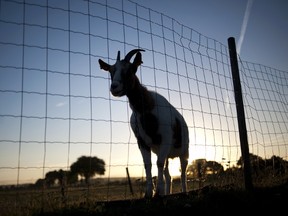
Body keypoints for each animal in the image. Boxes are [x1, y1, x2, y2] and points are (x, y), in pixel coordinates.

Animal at [99, 49, 189, 197]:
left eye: (130, 70)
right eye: (111, 71)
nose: (114, 87)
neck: (147, 109)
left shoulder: (165, 138)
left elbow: (158, 163)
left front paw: (158, 193)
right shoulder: (141, 141)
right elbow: (148, 164)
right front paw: (149, 193)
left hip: (184, 150)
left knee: (182, 171)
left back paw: (184, 191)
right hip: (164, 152)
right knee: (168, 174)